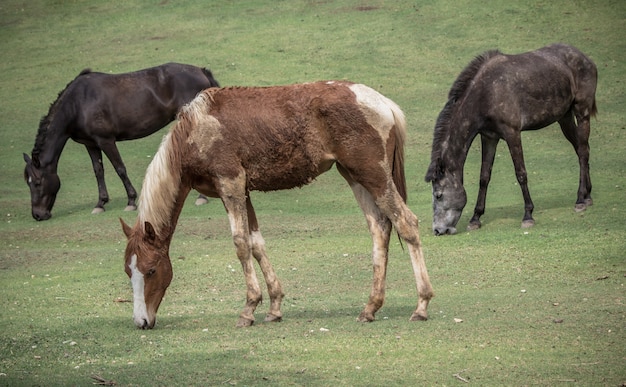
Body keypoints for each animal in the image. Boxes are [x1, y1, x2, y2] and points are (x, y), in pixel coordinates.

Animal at [23, 63, 219, 221]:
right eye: (28, 183)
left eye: (38, 182)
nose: (37, 215)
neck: (78, 103)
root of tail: (201, 71)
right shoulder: (90, 144)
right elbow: (98, 171)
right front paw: (100, 203)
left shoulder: (106, 141)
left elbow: (120, 168)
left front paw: (131, 201)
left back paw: (202, 196)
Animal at [120, 82, 434, 330]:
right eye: (128, 271)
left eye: (151, 270)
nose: (142, 322)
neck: (197, 129)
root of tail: (383, 103)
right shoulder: (243, 193)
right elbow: (257, 244)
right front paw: (274, 307)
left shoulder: (231, 186)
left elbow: (241, 244)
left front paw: (249, 309)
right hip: (355, 177)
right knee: (380, 228)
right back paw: (370, 308)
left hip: (374, 176)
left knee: (407, 223)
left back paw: (421, 305)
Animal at [424, 43, 596, 235]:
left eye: (438, 195)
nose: (438, 230)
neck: (486, 92)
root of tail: (585, 58)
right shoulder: (489, 137)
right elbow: (484, 177)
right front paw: (476, 218)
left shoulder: (512, 133)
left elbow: (521, 173)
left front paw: (528, 215)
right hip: (564, 118)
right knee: (581, 149)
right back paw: (587, 195)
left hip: (582, 112)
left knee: (583, 151)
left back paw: (580, 200)